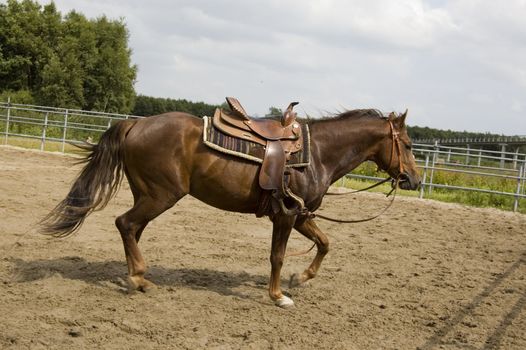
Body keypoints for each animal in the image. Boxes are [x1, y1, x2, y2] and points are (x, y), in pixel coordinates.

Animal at [40, 106, 420, 306]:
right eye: (408, 144)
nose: (414, 180)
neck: (318, 154)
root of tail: (137, 123)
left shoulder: (301, 215)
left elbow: (325, 243)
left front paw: (301, 277)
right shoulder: (286, 215)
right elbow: (278, 256)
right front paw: (278, 295)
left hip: (147, 195)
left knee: (132, 228)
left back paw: (136, 275)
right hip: (160, 196)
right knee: (125, 224)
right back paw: (139, 278)